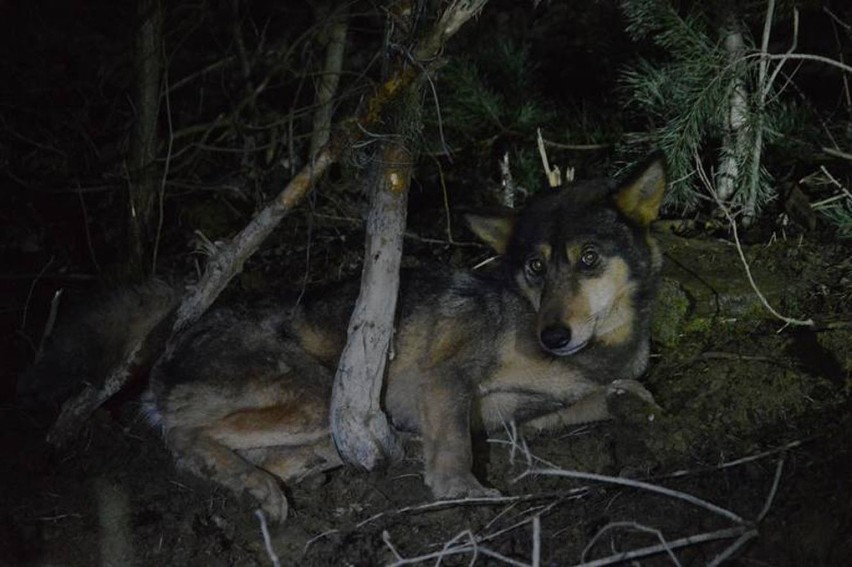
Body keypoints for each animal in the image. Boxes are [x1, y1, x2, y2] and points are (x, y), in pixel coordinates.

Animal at [25, 153, 664, 520]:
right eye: (535, 267)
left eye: (588, 259)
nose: (554, 334)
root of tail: (177, 334)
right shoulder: (447, 375)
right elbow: (455, 448)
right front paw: (459, 489)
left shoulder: (526, 415)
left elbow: (609, 398)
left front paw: (633, 400)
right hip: (317, 394)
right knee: (183, 439)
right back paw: (260, 489)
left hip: (315, 414)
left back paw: (317, 466)